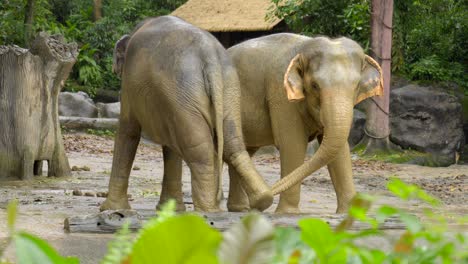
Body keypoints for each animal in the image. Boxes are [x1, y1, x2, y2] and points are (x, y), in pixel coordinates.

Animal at [100, 16, 272, 212]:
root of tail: (209, 54)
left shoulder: (131, 87)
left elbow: (128, 130)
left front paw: (109, 208)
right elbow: (169, 145)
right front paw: (170, 209)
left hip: (184, 91)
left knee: (200, 150)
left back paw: (207, 210)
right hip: (226, 89)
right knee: (231, 142)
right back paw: (261, 200)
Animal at [227, 33, 384, 214]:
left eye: (357, 86)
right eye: (315, 85)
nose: (261, 200)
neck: (303, 48)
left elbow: (340, 150)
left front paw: (348, 214)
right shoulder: (280, 94)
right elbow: (293, 144)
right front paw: (288, 213)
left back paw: (239, 209)